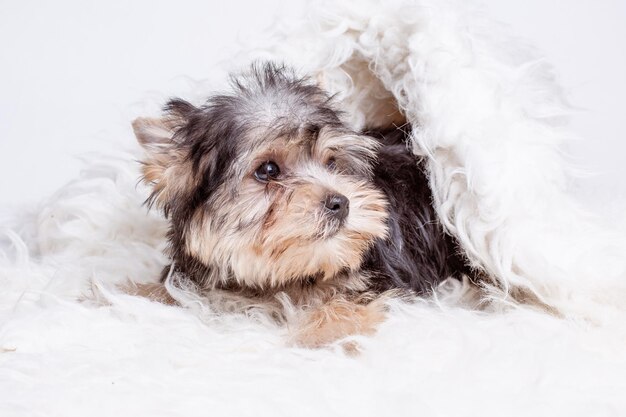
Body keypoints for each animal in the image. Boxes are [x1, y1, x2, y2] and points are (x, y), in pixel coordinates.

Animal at [133, 61, 472, 346]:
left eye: (332, 163)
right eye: (268, 170)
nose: (340, 202)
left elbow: (343, 305)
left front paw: (318, 334)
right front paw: (134, 290)